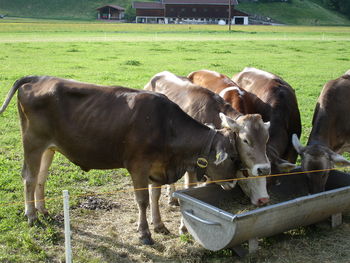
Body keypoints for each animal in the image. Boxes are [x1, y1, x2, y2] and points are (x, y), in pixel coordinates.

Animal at [0, 76, 241, 245]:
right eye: (232, 156)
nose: (233, 183)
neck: (167, 126)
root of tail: (38, 78)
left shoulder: (157, 167)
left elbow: (154, 196)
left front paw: (159, 225)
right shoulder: (138, 166)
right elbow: (142, 200)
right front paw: (145, 233)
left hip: (49, 147)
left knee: (41, 177)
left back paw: (42, 210)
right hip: (33, 142)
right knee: (29, 178)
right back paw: (32, 216)